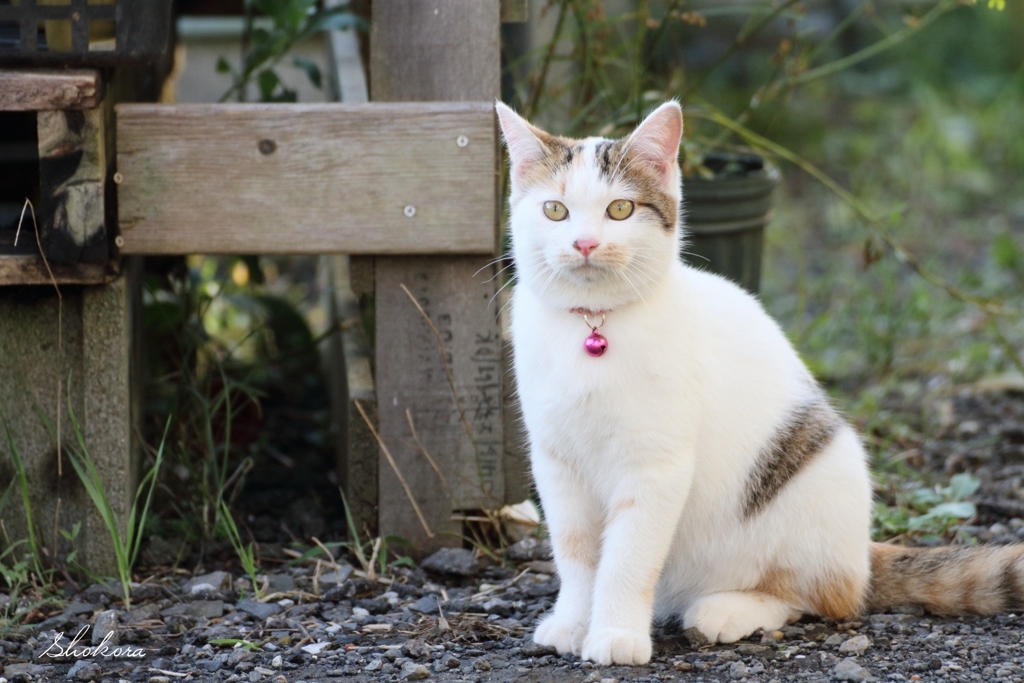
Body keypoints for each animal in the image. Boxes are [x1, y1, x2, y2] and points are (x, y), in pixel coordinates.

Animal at [495, 101, 1024, 667]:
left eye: (620, 210)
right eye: (555, 211)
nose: (585, 242)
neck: (594, 329)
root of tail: (862, 552)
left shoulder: (654, 465)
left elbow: (627, 559)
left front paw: (616, 633)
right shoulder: (557, 462)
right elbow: (576, 554)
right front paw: (574, 622)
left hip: (818, 483)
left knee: (825, 598)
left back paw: (728, 610)